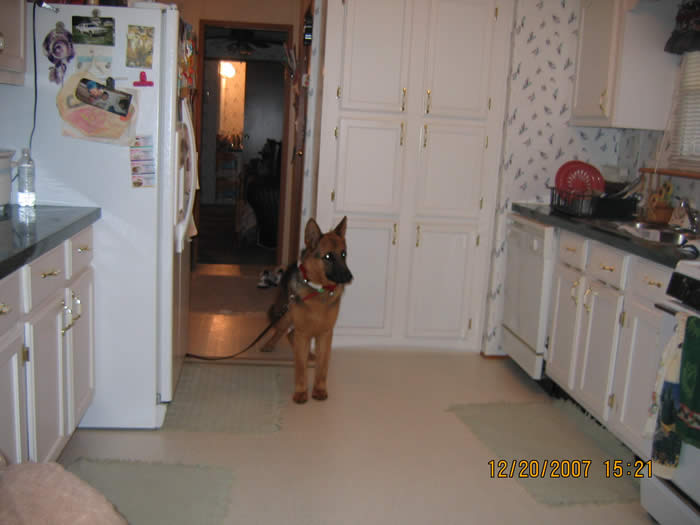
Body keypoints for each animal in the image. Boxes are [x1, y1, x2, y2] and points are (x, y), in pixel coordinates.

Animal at [263, 216, 353, 404]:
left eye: (343, 254)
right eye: (328, 256)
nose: (349, 277)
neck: (318, 290)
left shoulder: (325, 334)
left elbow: (323, 366)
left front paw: (319, 389)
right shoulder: (303, 333)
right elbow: (300, 368)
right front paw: (301, 392)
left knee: (291, 335)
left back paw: (310, 355)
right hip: (287, 316)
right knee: (280, 330)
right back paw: (269, 345)